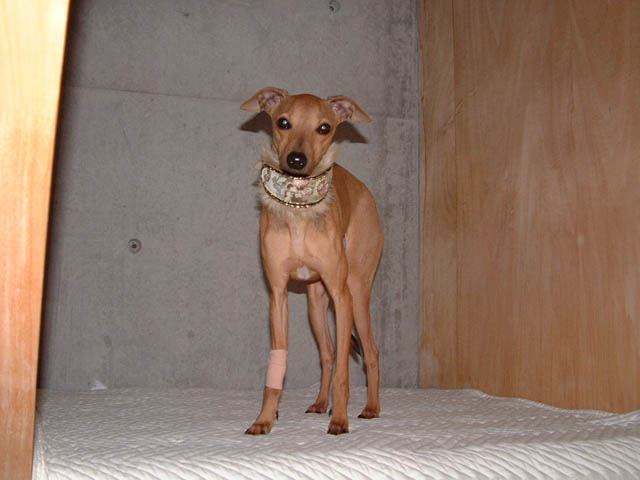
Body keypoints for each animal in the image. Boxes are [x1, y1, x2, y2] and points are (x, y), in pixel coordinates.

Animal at [240, 87, 383, 435]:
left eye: (324, 127)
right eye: (283, 122)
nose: (296, 160)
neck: (299, 213)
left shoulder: (341, 296)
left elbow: (345, 370)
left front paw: (340, 419)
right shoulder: (278, 296)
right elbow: (279, 362)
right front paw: (265, 418)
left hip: (357, 292)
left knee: (370, 351)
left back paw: (370, 407)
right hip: (316, 305)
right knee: (329, 354)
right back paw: (321, 402)